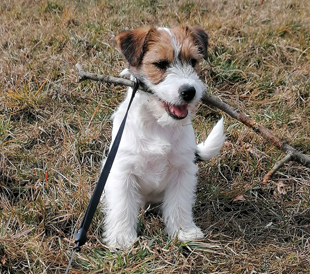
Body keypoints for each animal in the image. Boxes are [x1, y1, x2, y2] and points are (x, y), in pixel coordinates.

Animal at [102, 25, 225, 248]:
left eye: (193, 62)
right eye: (160, 64)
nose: (189, 91)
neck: (159, 124)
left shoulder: (182, 171)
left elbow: (179, 204)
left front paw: (183, 232)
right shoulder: (123, 171)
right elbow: (122, 206)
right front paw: (122, 238)